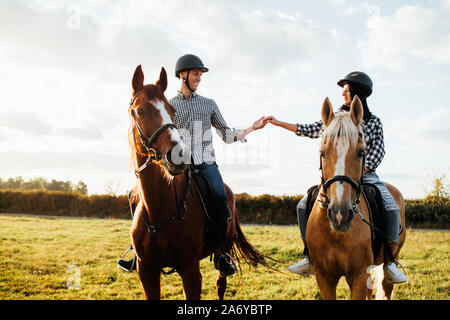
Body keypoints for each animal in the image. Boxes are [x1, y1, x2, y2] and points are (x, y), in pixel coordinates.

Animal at [126, 64, 268, 300]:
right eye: (140, 111)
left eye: (172, 111)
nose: (178, 156)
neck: (159, 208)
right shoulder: (146, 271)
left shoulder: (190, 271)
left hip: (222, 250)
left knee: (221, 283)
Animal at [306, 95, 408, 300]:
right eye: (322, 153)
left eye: (361, 152)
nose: (340, 215)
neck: (335, 234)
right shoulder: (324, 277)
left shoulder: (359, 275)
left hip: (390, 260)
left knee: (386, 285)